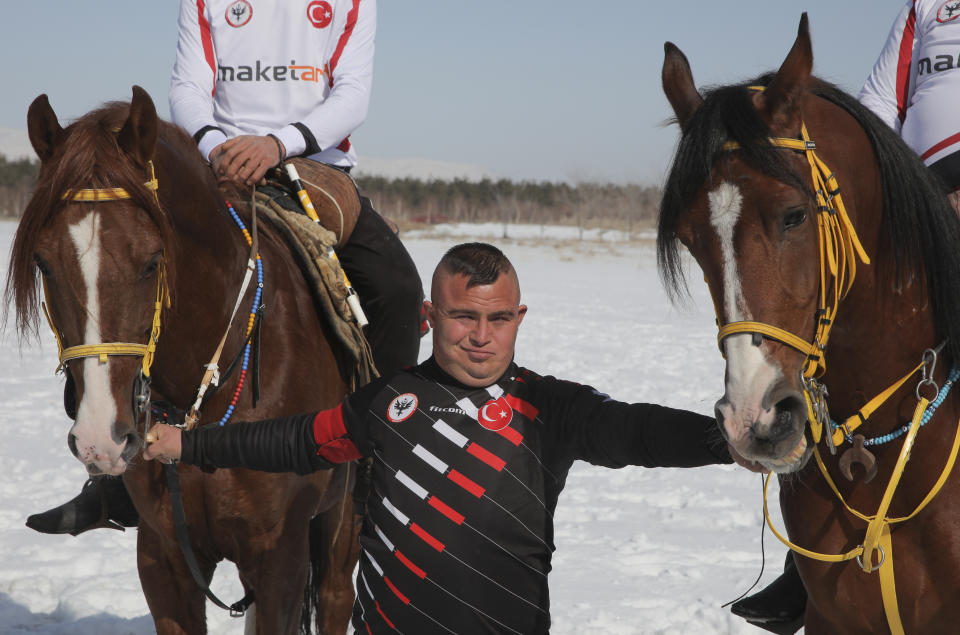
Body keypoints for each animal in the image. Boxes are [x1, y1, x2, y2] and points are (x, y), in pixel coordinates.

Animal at [4, 85, 360, 635]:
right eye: (44, 263)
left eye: (152, 261)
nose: (100, 438)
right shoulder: (163, 557)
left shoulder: (281, 557)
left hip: (341, 525)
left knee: (338, 595)